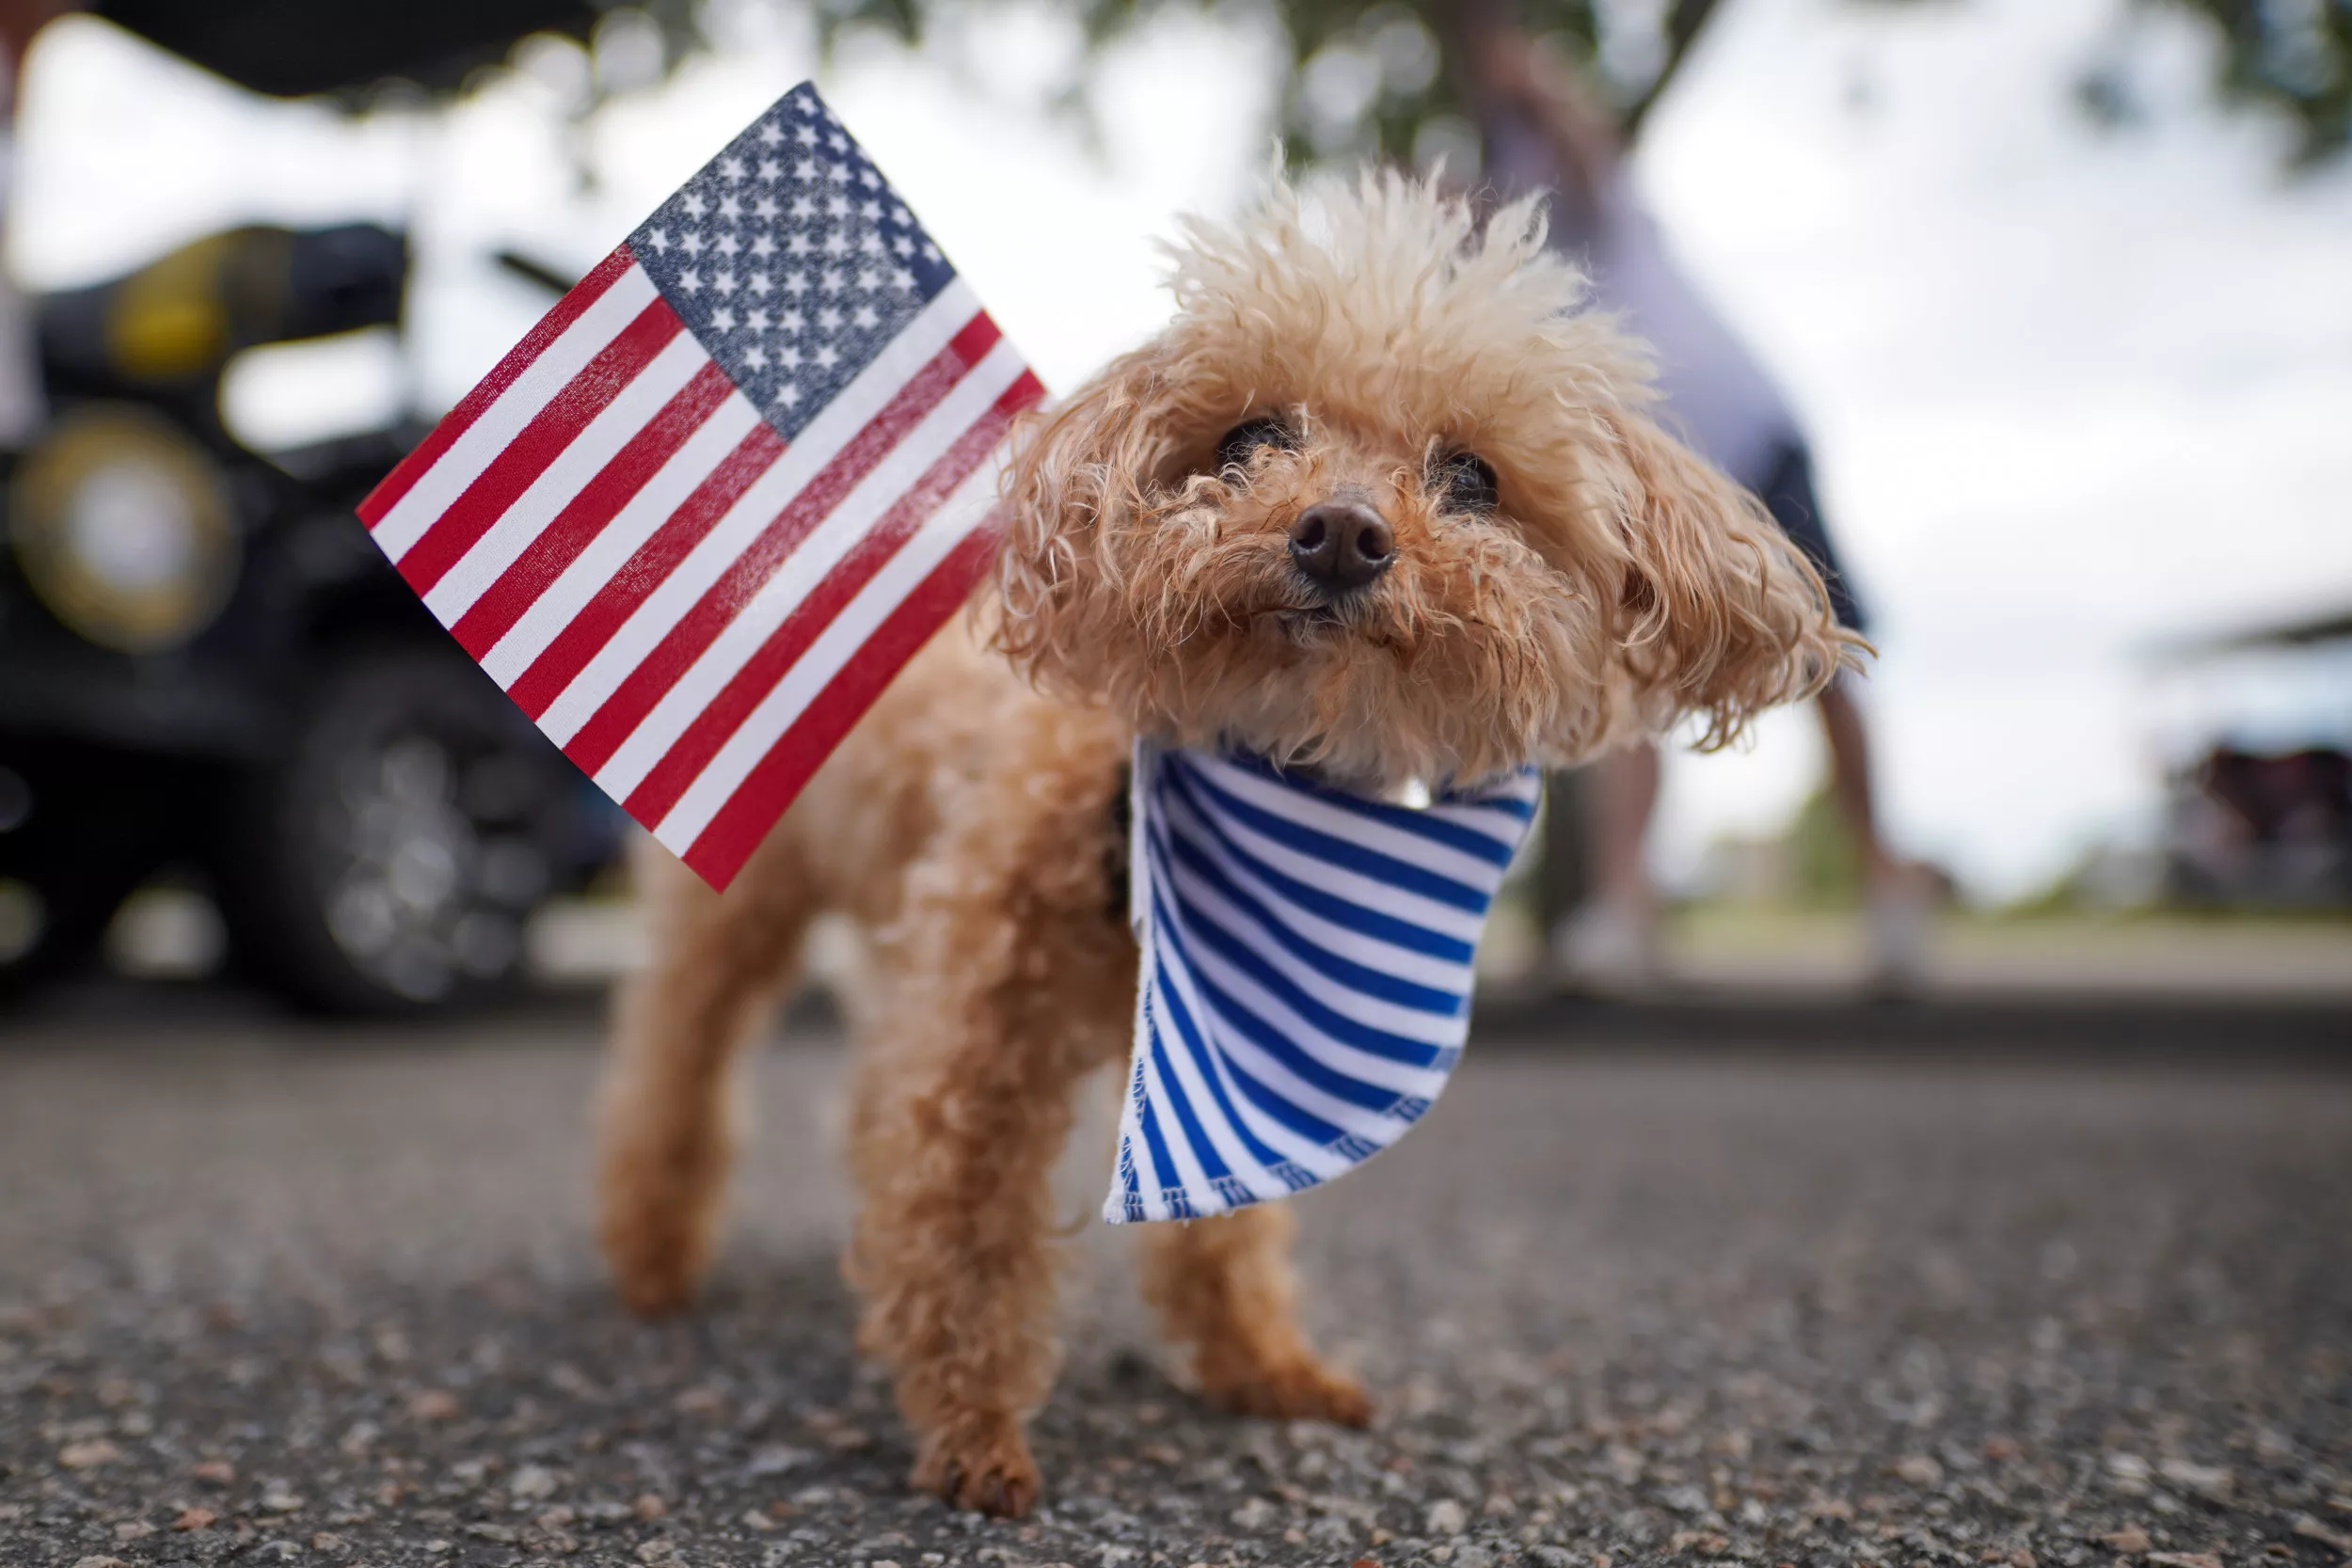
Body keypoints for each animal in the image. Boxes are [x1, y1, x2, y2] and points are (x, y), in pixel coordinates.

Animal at [593, 171, 1853, 1523]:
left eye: (1470, 475)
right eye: (1250, 439)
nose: (1341, 532)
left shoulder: (1222, 1040)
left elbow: (1221, 1221)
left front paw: (1261, 1364)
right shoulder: (984, 1028)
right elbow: (966, 1221)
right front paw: (974, 1433)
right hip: (739, 912)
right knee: (676, 1062)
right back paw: (652, 1259)